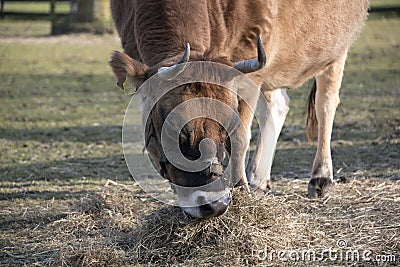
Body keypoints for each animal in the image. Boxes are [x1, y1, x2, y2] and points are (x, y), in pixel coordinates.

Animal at [109, 0, 368, 218]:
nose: (214, 205)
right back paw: (258, 179)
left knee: (325, 104)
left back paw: (320, 178)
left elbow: (241, 137)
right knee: (277, 106)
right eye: (173, 128)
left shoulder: (251, 67)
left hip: (336, 49)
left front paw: (241, 190)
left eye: (226, 126)